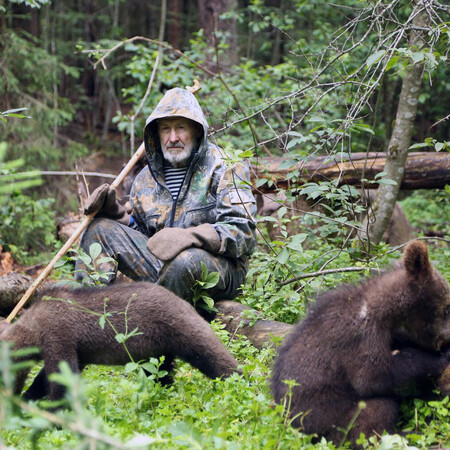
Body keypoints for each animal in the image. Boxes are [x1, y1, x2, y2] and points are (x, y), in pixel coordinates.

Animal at [0, 282, 239, 400]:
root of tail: (183, 300)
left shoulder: (59, 338)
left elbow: (61, 382)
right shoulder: (74, 353)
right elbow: (42, 379)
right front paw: (28, 398)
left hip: (182, 330)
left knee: (213, 356)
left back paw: (240, 380)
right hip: (156, 351)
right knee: (162, 374)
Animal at [270, 241, 450, 444]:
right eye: (447, 308)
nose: (447, 339)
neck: (386, 312)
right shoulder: (360, 337)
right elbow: (372, 376)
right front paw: (437, 359)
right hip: (335, 421)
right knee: (376, 410)